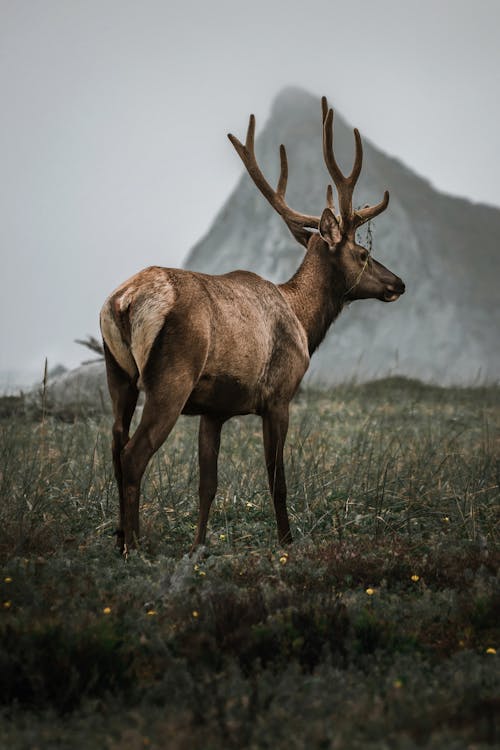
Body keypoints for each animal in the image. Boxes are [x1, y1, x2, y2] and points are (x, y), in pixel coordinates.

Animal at [99, 97, 404, 556]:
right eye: (364, 253)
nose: (398, 283)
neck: (304, 323)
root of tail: (124, 301)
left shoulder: (214, 410)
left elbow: (207, 484)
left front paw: (198, 546)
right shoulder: (279, 395)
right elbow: (277, 479)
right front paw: (287, 542)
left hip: (117, 374)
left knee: (116, 446)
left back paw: (119, 537)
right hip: (170, 378)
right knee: (134, 454)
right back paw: (133, 547)